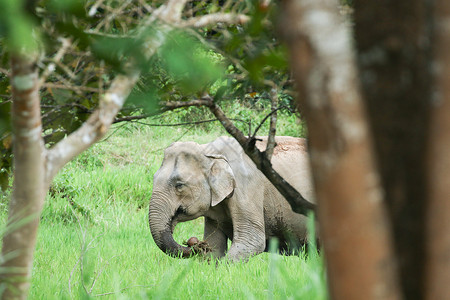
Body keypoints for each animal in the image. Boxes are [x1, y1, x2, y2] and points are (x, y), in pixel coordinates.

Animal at [149, 135, 314, 262]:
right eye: (153, 178)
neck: (209, 151)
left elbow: (251, 240)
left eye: (179, 185)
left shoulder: (246, 187)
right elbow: (215, 245)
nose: (195, 243)